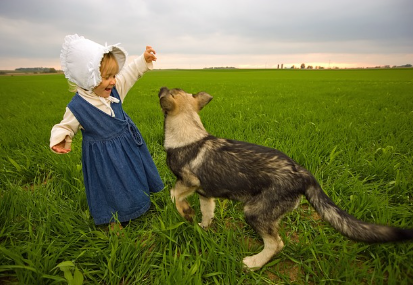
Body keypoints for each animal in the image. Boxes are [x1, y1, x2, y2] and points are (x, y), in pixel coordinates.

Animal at [157, 86, 412, 268]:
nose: (161, 85)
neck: (189, 131)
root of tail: (303, 173)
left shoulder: (189, 181)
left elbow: (173, 194)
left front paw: (184, 212)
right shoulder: (205, 193)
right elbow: (207, 212)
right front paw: (201, 225)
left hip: (255, 212)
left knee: (276, 243)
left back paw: (254, 263)